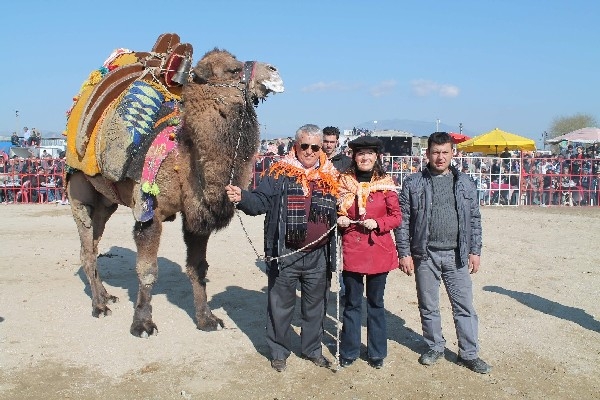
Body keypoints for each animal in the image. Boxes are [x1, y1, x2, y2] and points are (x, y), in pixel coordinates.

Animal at [68, 45, 284, 336]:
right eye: (233, 69)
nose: (274, 70)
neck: (184, 157)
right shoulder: (148, 211)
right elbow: (147, 269)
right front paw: (143, 324)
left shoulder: (197, 214)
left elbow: (198, 268)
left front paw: (207, 319)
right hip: (78, 190)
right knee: (86, 247)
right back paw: (99, 306)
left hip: (105, 202)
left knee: (93, 242)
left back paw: (105, 296)